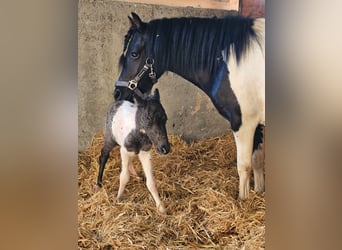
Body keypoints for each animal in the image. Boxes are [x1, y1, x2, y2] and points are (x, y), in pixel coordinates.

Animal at [113, 12, 266, 200]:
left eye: (134, 54)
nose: (118, 93)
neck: (229, 63)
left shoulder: (244, 123)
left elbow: (244, 166)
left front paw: (242, 200)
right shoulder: (257, 123)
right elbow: (257, 159)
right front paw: (258, 191)